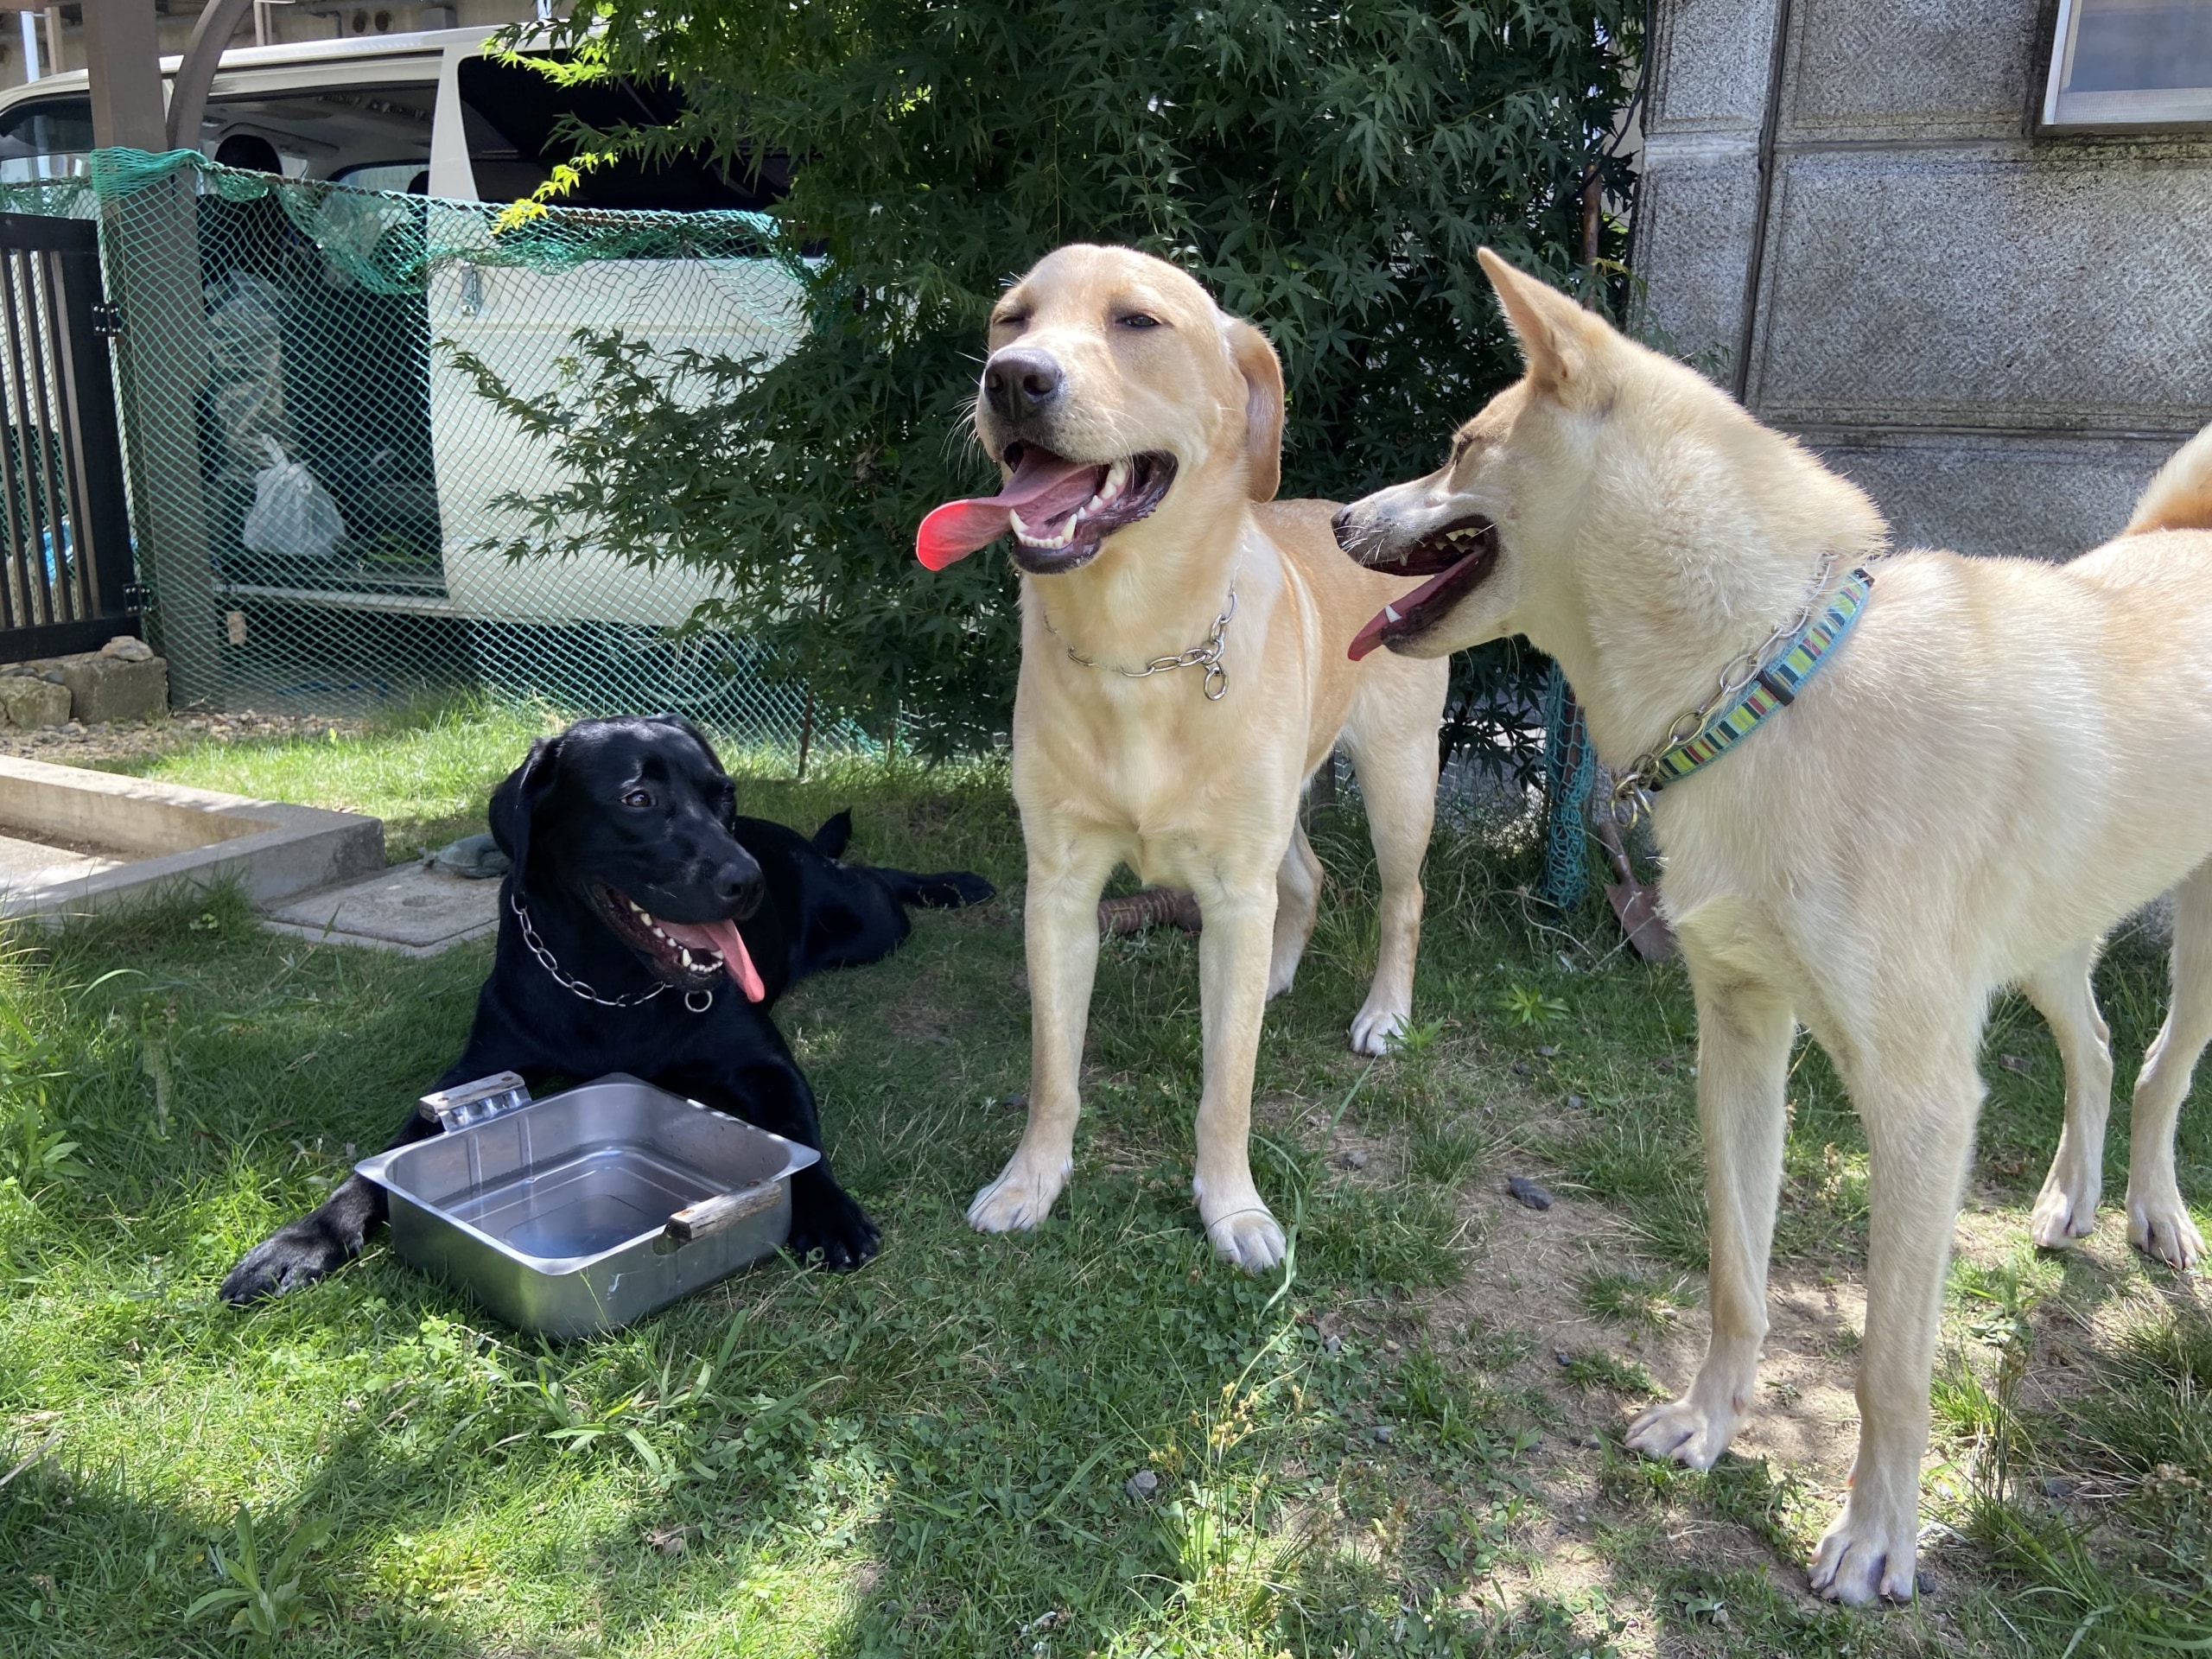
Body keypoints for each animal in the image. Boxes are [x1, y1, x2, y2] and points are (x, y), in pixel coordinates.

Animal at [219, 716, 990, 1309]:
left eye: (723, 795)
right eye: (638, 797)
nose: (747, 881)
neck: (611, 982)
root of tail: (789, 841)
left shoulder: (765, 1065)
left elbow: (803, 1144)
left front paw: (829, 1214)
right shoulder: (476, 1068)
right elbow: (369, 1169)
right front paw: (301, 1241)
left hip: (869, 927)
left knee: (876, 878)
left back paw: (953, 883)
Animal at [915, 239, 1451, 1265]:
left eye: (1137, 321)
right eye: (1012, 317)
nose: (1012, 378)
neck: (1137, 646)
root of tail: (1352, 518)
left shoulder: (1233, 881)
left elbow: (1226, 1090)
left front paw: (1232, 1210)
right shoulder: (1060, 887)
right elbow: (1053, 1069)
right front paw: (1031, 1181)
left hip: (1400, 779)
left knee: (1401, 900)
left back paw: (1383, 1015)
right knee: (1306, 878)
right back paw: (1272, 977)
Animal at [1327, 250, 2212, 1610]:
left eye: (1463, 444)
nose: (1331, 522)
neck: (1765, 683)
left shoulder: (1920, 1105)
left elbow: (1890, 1363)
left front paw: (1879, 1539)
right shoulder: (1740, 1036)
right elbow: (1737, 1276)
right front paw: (1708, 1424)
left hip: (2192, 938)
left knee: (2165, 1064)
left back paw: (2154, 1218)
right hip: (2047, 946)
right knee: (2101, 1050)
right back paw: (2068, 1200)